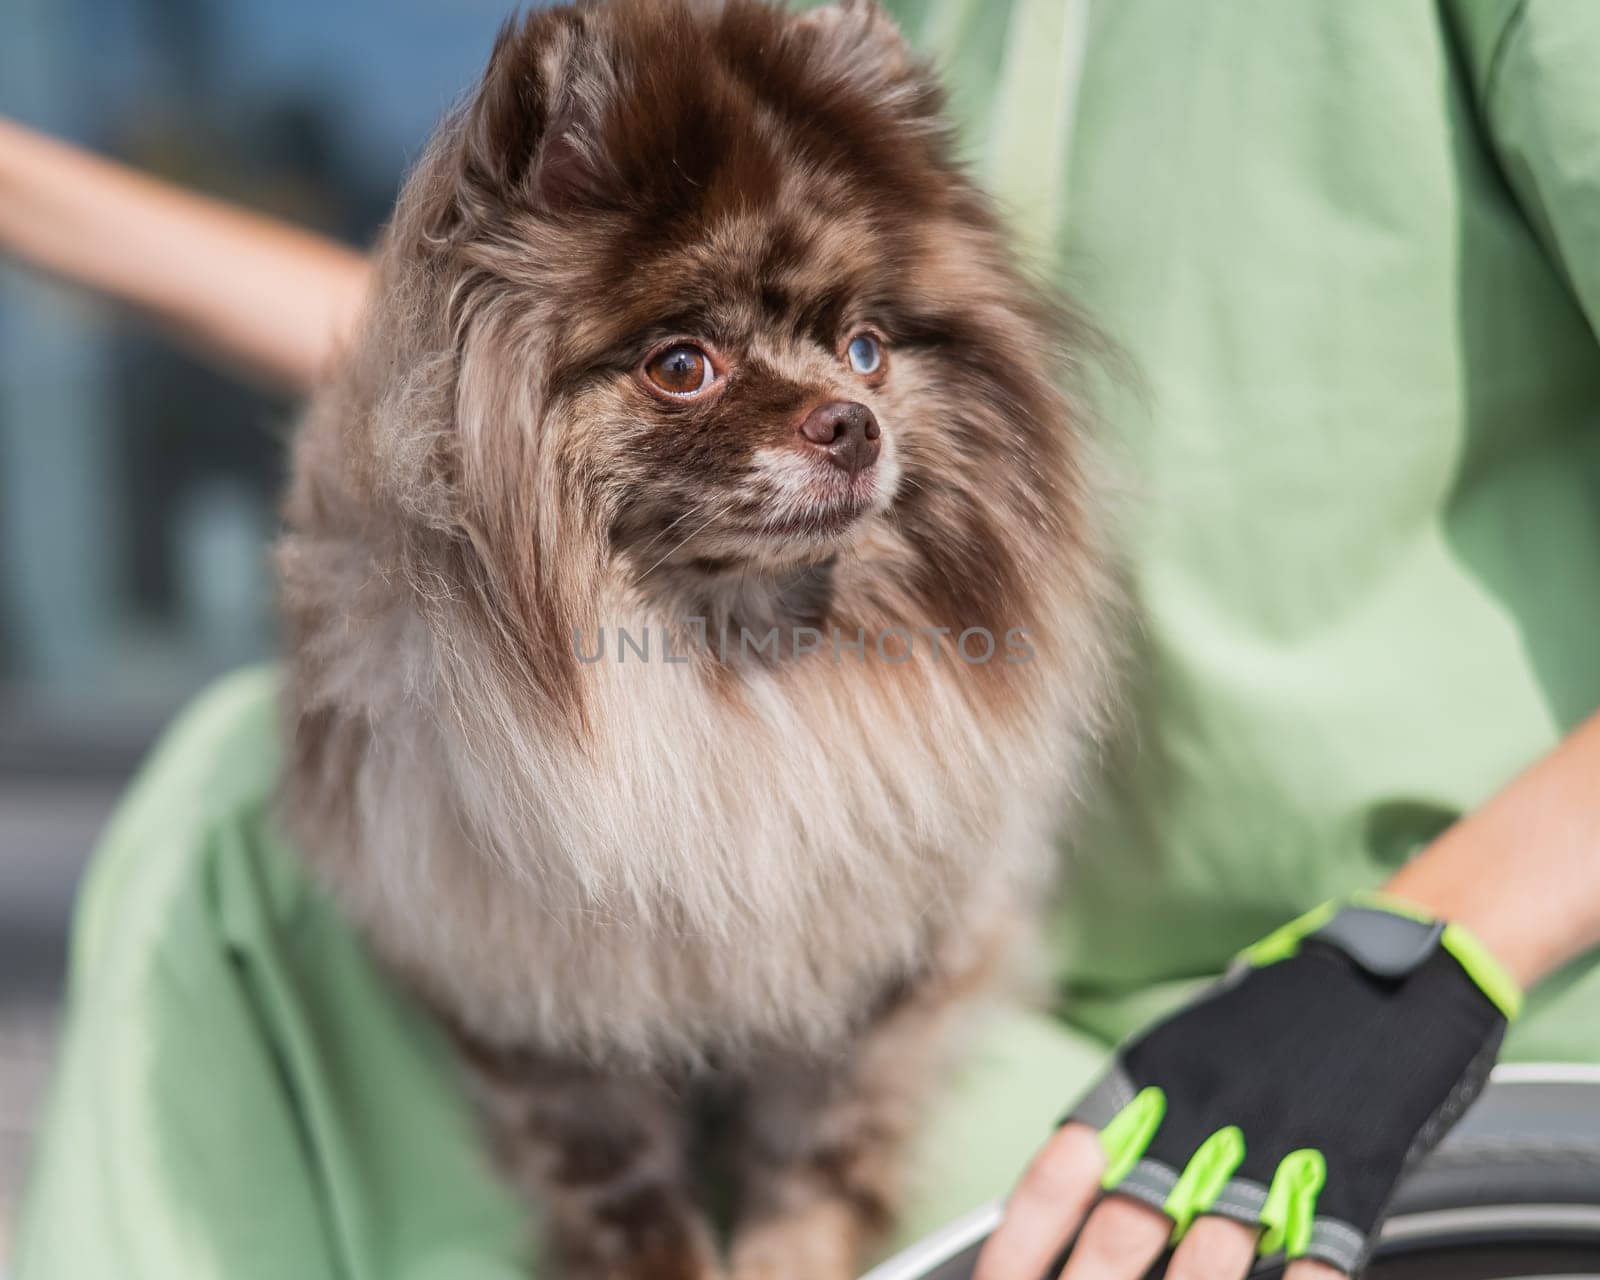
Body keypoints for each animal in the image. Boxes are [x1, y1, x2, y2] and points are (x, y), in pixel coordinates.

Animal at [278, 2, 1113, 1280]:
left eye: (866, 349)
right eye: (683, 366)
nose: (851, 422)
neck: (728, 669)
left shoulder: (863, 982)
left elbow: (812, 1165)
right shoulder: (536, 1012)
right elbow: (626, 1194)